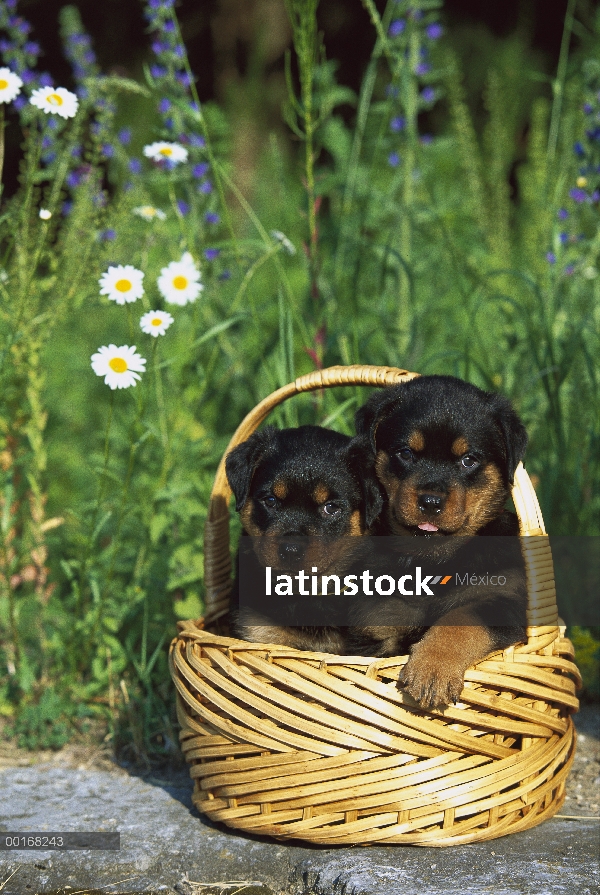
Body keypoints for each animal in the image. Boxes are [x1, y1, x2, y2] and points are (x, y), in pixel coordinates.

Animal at [350, 374, 528, 712]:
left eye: (469, 460)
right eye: (406, 453)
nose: (431, 501)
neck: (431, 559)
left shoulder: (505, 600)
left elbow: (460, 619)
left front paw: (432, 671)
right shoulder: (376, 625)